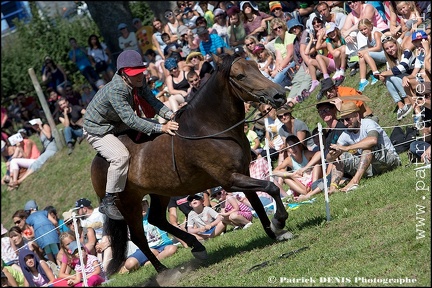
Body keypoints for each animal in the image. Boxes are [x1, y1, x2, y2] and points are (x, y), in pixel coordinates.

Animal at [91, 50, 294, 276]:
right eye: (240, 75)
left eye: (257, 67)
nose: (279, 95)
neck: (211, 128)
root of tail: (99, 159)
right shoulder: (230, 180)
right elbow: (271, 187)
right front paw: (279, 221)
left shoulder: (243, 174)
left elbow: (258, 203)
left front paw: (275, 233)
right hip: (129, 204)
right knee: (138, 237)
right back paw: (164, 270)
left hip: (161, 193)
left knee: (156, 219)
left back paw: (197, 247)